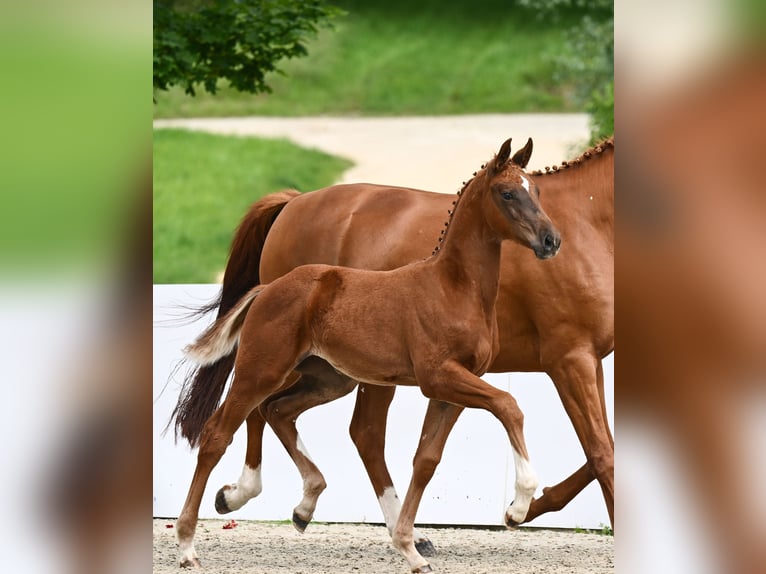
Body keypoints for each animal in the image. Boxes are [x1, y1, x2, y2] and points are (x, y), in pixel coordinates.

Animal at [174, 137, 616, 552]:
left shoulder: (565, 364)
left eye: (537, 191)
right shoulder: (561, 359)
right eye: (507, 193)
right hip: (277, 366)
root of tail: (294, 202)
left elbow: (428, 457)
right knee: (257, 421)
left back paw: (311, 507)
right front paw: (520, 505)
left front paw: (525, 507)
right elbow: (584, 444)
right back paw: (233, 502)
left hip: (332, 377)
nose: (551, 240)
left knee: (287, 413)